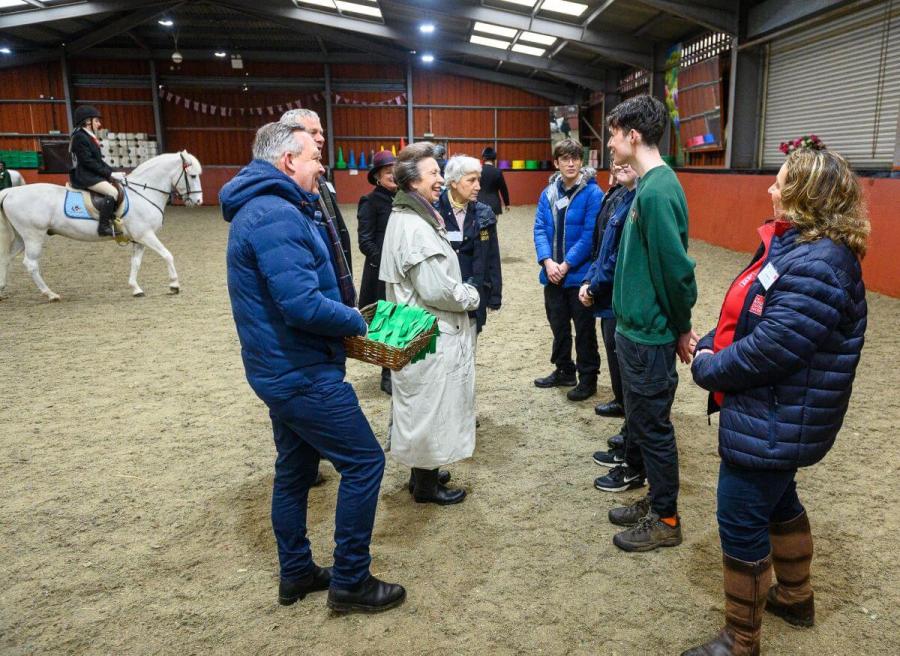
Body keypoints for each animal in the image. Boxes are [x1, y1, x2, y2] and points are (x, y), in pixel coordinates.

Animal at [0, 150, 203, 302]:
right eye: (192, 175)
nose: (199, 201)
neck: (142, 193)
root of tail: (10, 192)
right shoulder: (146, 235)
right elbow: (168, 255)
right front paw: (174, 285)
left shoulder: (139, 239)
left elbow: (136, 263)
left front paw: (136, 288)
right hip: (33, 235)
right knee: (31, 264)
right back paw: (50, 294)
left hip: (22, 238)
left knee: (6, 259)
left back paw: (2, 290)